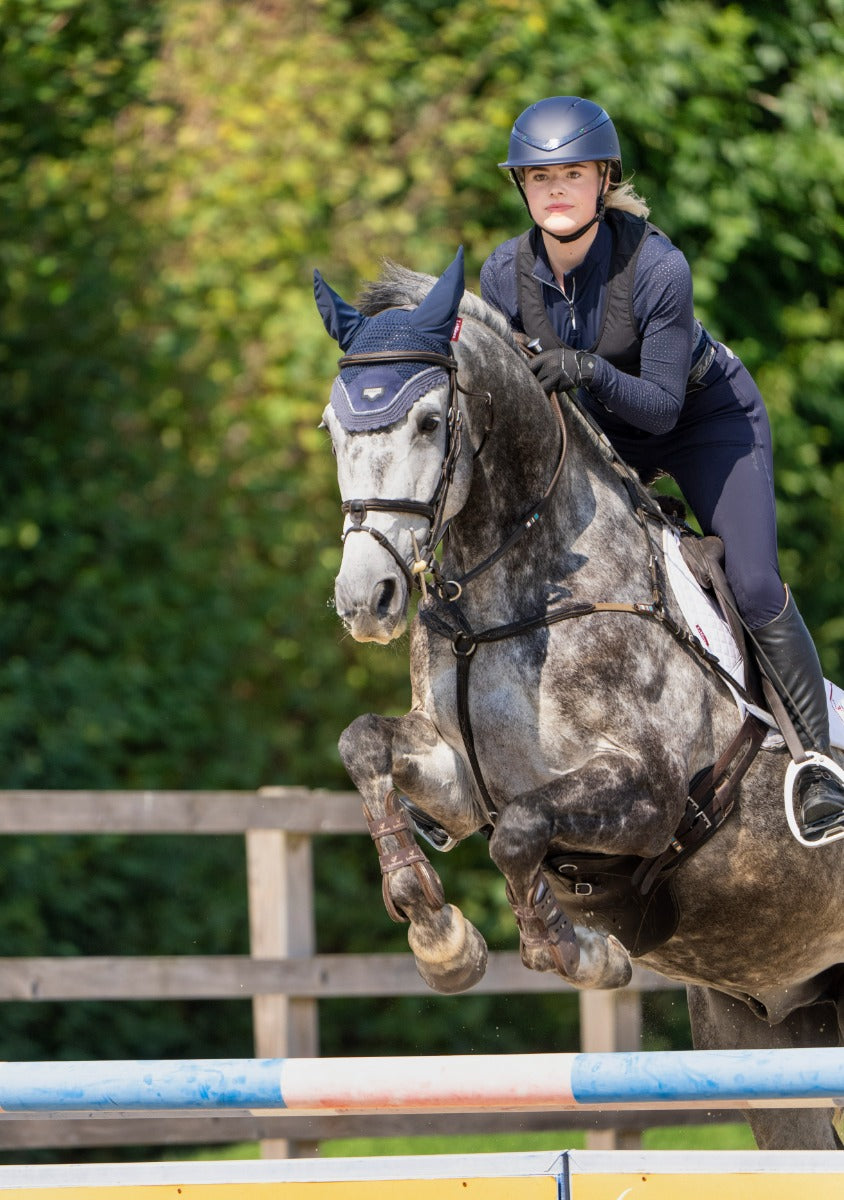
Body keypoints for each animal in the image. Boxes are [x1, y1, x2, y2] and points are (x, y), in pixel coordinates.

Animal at [314, 248, 844, 1147]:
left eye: (427, 422)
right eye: (331, 426)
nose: (366, 598)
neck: (510, 597)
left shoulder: (653, 797)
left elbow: (525, 831)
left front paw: (578, 952)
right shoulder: (459, 780)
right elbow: (365, 746)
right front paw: (440, 937)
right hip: (769, 1029)